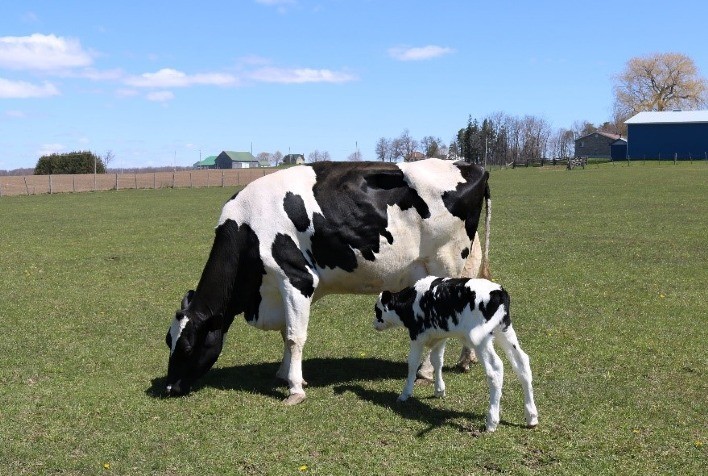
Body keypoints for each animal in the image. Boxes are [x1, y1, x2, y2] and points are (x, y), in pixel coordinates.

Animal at [164, 158, 491, 404]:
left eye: (187, 347)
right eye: (169, 340)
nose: (169, 388)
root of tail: (469, 165)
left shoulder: (297, 278)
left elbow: (294, 336)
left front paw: (295, 389)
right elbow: (286, 333)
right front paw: (284, 373)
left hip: (445, 263)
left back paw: (425, 372)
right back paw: (466, 360)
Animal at [373, 276, 538, 432]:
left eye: (377, 310)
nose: (374, 324)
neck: (412, 299)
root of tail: (498, 291)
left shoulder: (416, 336)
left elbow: (413, 363)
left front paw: (405, 394)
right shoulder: (439, 337)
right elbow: (437, 361)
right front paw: (439, 390)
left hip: (482, 340)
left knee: (495, 368)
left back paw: (492, 421)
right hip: (504, 331)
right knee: (522, 362)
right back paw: (531, 417)